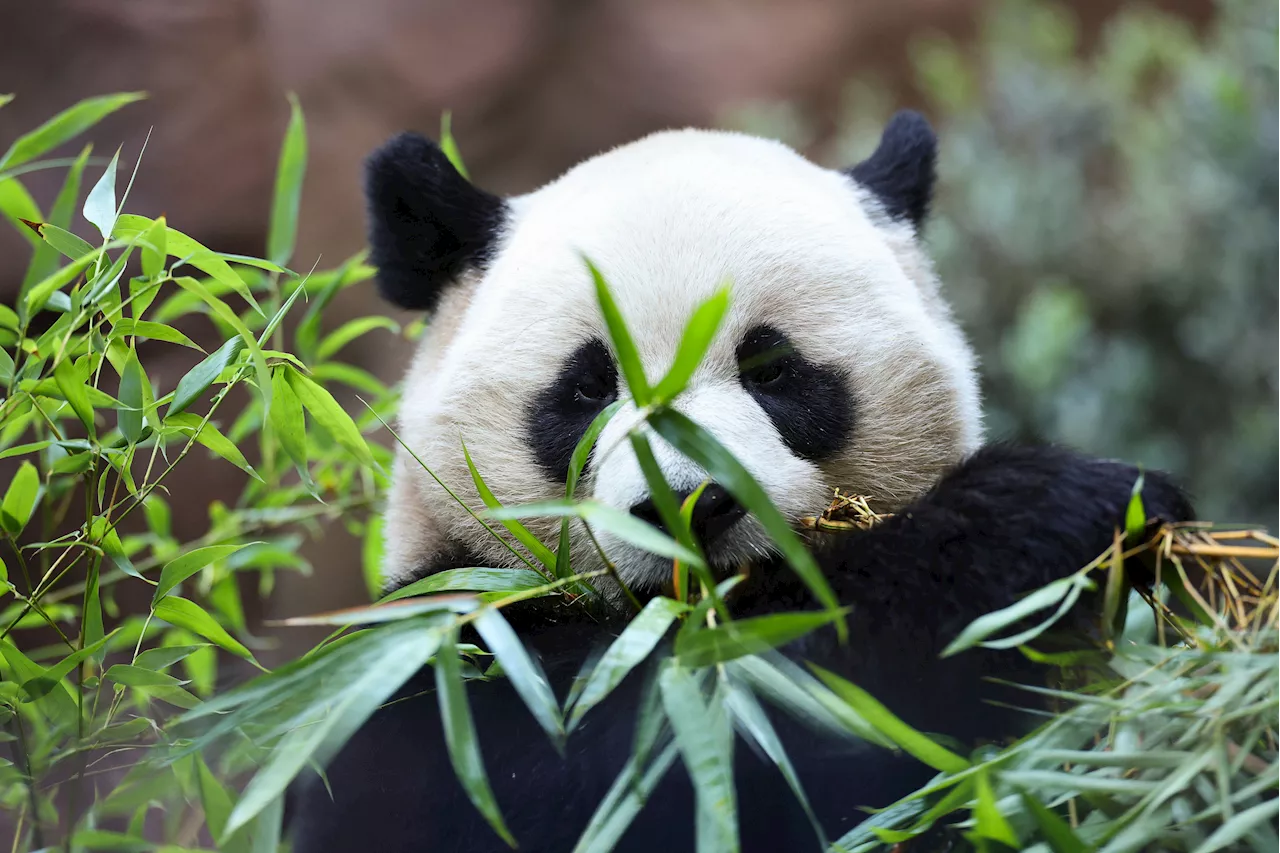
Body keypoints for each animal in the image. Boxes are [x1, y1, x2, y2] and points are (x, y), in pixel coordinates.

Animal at [285, 114, 1192, 850]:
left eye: (771, 368)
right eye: (587, 388)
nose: (687, 504)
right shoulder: (431, 657)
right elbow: (638, 742)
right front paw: (1056, 510)